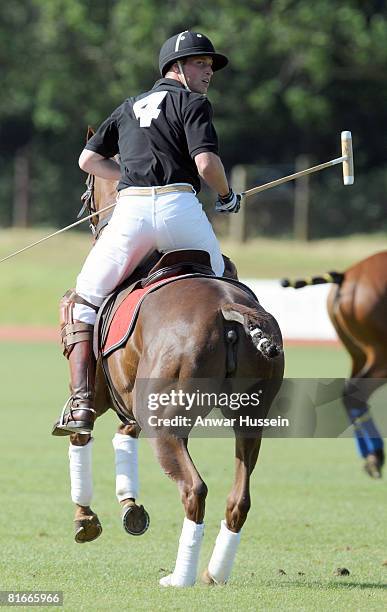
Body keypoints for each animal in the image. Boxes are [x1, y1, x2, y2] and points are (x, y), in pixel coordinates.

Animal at [68, 155, 284, 584]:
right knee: (239, 498)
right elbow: (123, 436)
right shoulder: (130, 404)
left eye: (86, 186)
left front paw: (87, 519)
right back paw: (214, 574)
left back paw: (180, 578)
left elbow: (79, 432)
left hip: (165, 423)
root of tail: (227, 309)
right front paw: (131, 507)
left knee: (194, 489)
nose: (86, 213)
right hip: (250, 418)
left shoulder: (99, 396)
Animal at [282, 250, 387, 478]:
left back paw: (370, 457)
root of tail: (346, 277)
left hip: (358, 352)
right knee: (355, 392)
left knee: (351, 393)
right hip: (382, 354)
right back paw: (375, 455)